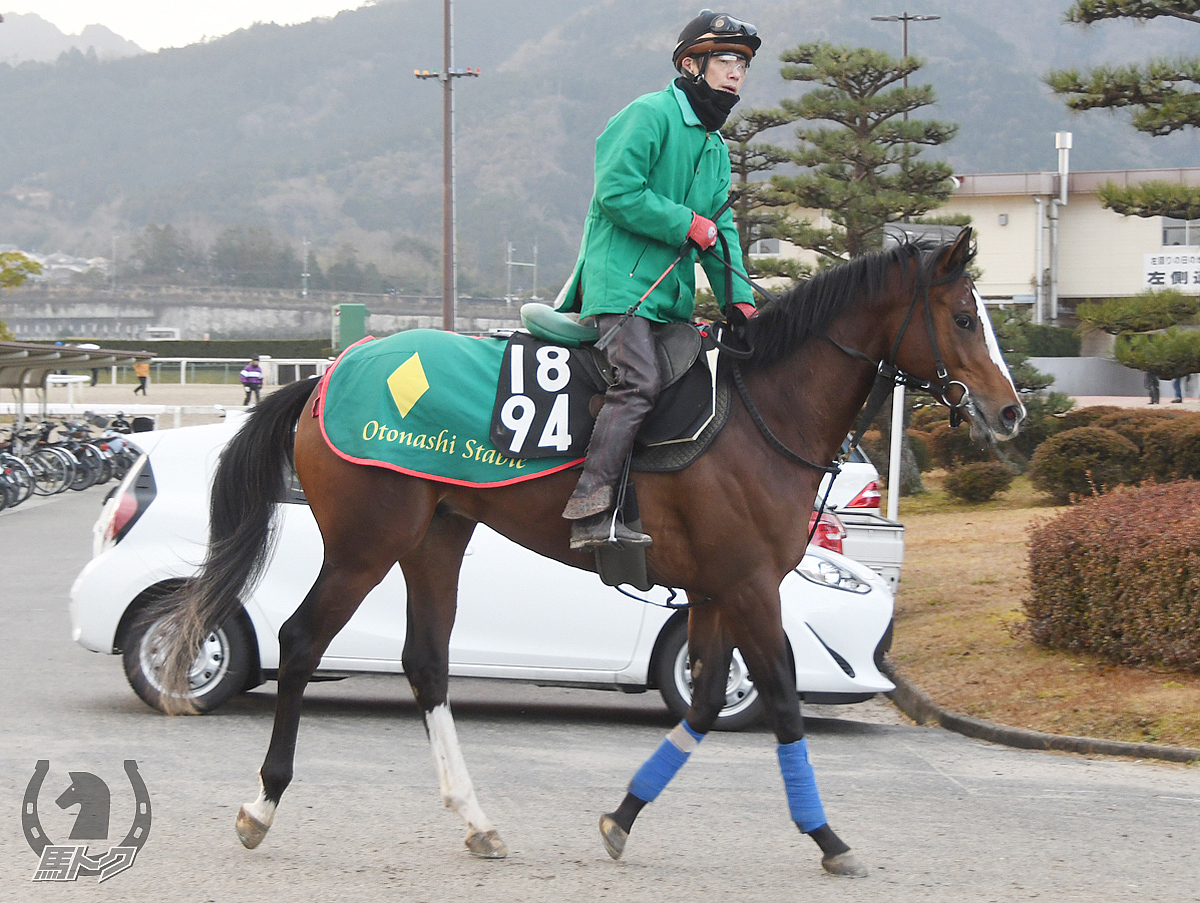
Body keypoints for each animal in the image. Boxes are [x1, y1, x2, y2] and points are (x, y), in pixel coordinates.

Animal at [154, 225, 1027, 874]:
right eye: (963, 318)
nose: (1011, 411)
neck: (760, 411)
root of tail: (330, 371)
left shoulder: (716, 588)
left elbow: (706, 700)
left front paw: (624, 813)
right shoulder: (751, 583)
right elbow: (780, 698)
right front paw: (828, 836)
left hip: (437, 534)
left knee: (426, 662)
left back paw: (476, 818)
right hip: (367, 541)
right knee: (301, 641)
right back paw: (262, 803)